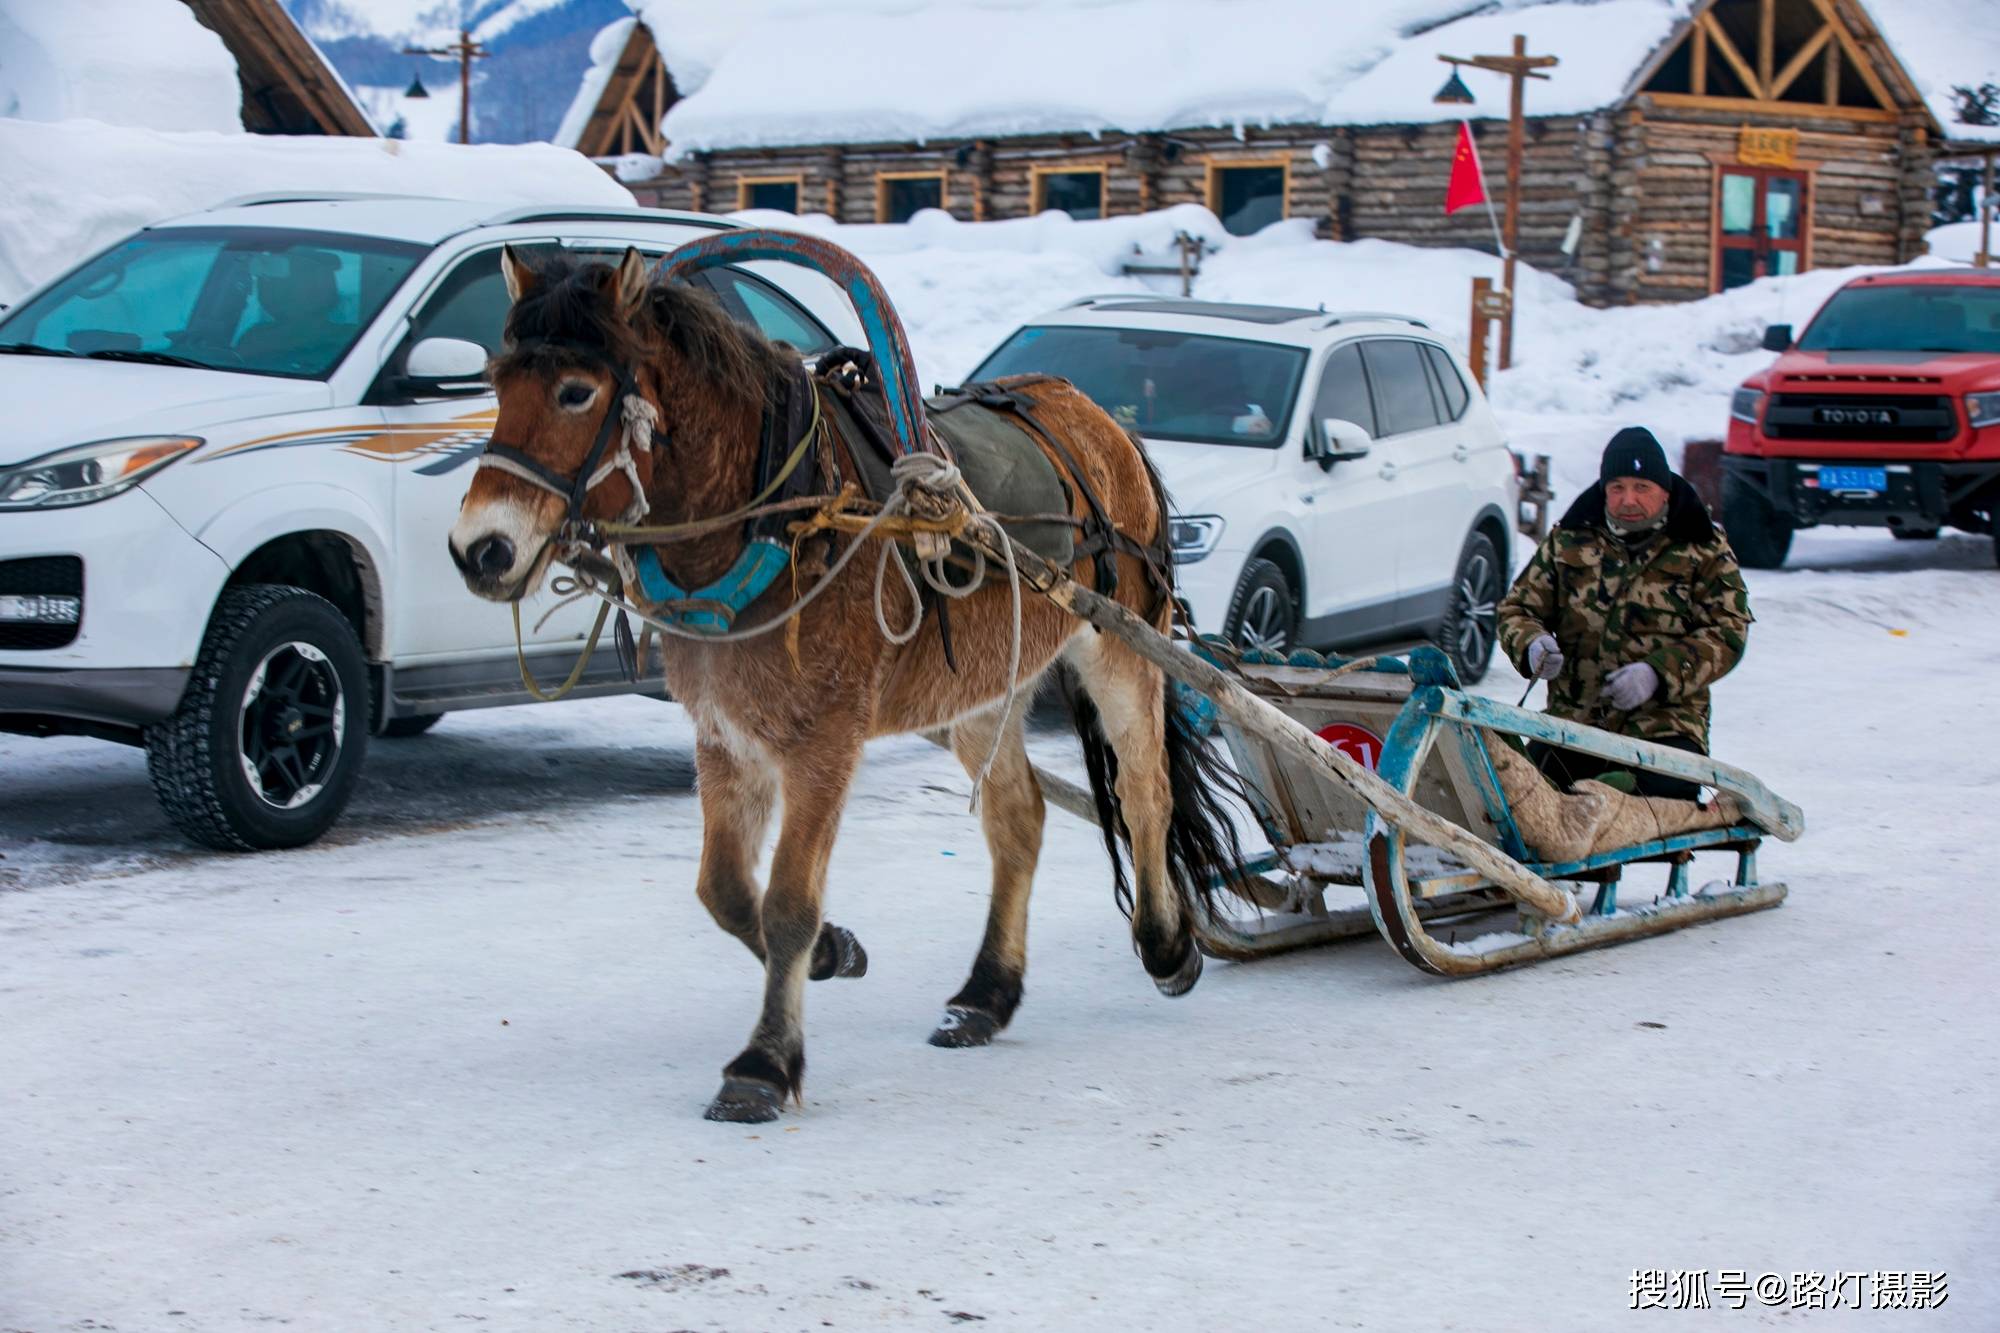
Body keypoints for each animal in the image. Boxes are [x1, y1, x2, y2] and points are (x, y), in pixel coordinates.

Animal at [450, 244, 1248, 1112]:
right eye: (497, 383)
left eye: (576, 390)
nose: (479, 549)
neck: (778, 521)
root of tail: (1102, 419)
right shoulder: (727, 736)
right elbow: (726, 890)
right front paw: (834, 952)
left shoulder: (824, 742)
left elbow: (788, 901)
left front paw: (764, 1061)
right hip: (979, 688)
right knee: (1018, 816)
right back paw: (985, 993)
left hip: (1120, 647)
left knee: (1145, 791)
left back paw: (1166, 944)